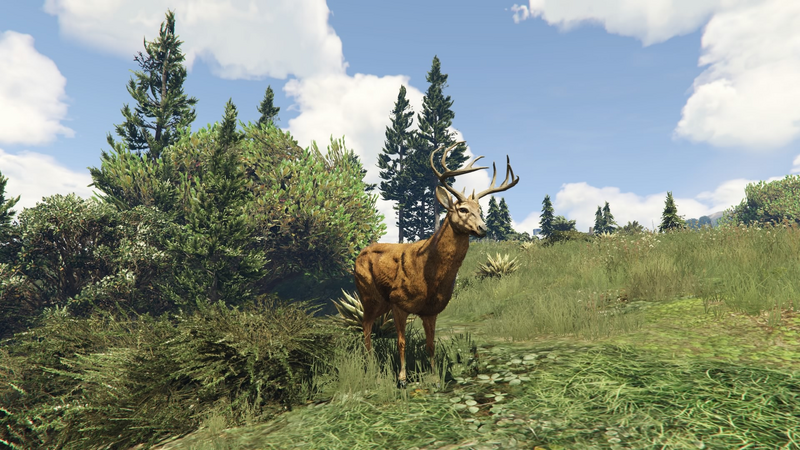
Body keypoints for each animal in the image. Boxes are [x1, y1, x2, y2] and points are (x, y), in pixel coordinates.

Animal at [354, 142, 519, 387]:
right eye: (463, 209)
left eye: (480, 210)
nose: (483, 228)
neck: (430, 274)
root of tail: (359, 254)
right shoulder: (398, 300)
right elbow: (401, 342)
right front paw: (402, 379)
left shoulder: (431, 310)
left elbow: (430, 344)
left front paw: (434, 376)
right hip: (369, 294)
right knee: (365, 327)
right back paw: (371, 366)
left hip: (380, 302)